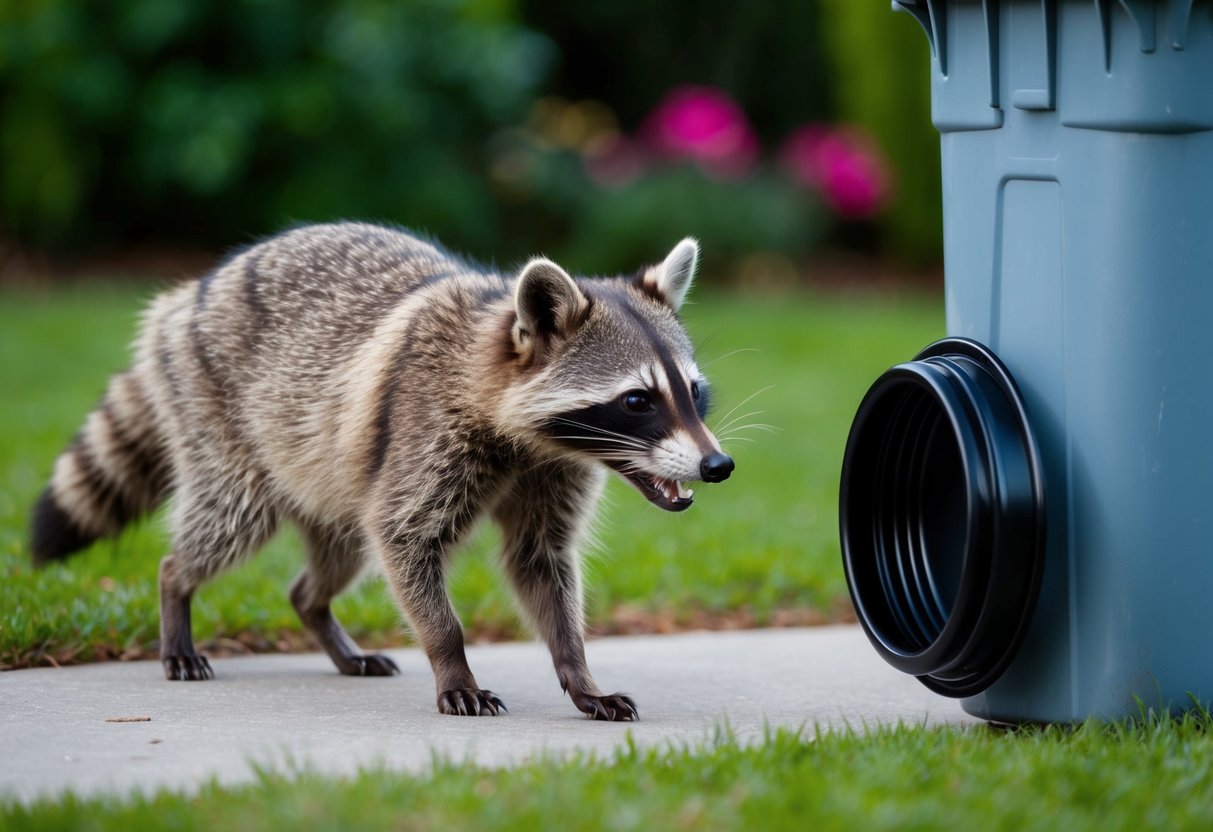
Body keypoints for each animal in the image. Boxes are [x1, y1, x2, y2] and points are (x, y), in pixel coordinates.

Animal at [30, 223, 734, 721]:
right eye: (637, 401)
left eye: (693, 391)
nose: (718, 465)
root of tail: (187, 295)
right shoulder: (425, 430)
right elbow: (403, 536)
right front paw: (453, 663)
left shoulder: (551, 472)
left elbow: (539, 560)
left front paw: (578, 671)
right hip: (218, 414)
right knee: (227, 523)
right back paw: (176, 591)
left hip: (326, 474)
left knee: (336, 558)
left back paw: (318, 614)